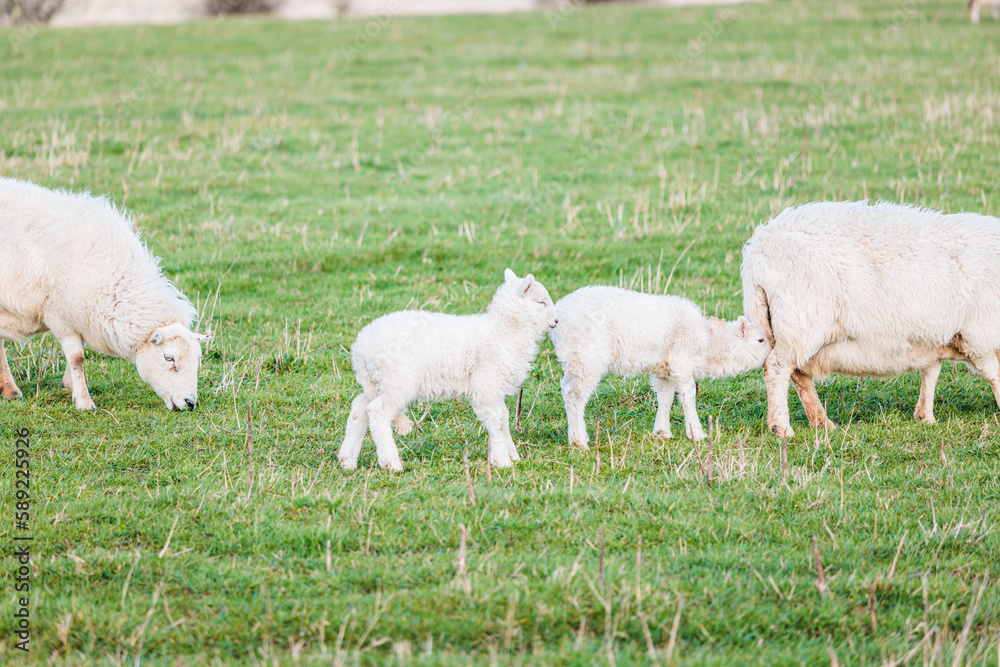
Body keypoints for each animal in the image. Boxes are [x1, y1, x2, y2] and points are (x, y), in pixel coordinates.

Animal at [0, 177, 211, 411]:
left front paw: (69, 385)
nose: (190, 403)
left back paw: (8, 390)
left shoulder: (80, 316)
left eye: (197, 359)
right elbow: (77, 358)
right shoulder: (60, 317)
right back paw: (11, 390)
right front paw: (84, 402)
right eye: (168, 358)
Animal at [338, 269, 558, 472]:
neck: (503, 331)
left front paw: (513, 456)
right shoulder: (487, 384)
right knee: (377, 412)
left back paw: (348, 460)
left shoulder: (494, 387)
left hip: (376, 381)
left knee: (360, 407)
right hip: (397, 380)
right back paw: (391, 463)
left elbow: (504, 419)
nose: (556, 321)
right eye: (541, 302)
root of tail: (361, 348)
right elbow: (496, 422)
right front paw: (502, 461)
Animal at [550, 286, 771, 448]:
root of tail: (559, 314)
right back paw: (579, 442)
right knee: (574, 395)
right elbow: (688, 395)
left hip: (575, 359)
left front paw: (662, 432)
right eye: (760, 340)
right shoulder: (681, 359)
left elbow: (666, 396)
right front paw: (697, 433)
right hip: (588, 358)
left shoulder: (665, 368)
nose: (773, 350)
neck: (708, 340)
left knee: (565, 387)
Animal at [741, 200, 1000, 438]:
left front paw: (925, 416)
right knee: (777, 367)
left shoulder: (935, 334)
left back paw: (821, 422)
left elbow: (931, 372)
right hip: (801, 323)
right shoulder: (979, 336)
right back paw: (782, 427)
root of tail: (759, 250)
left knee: (798, 373)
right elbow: (993, 373)